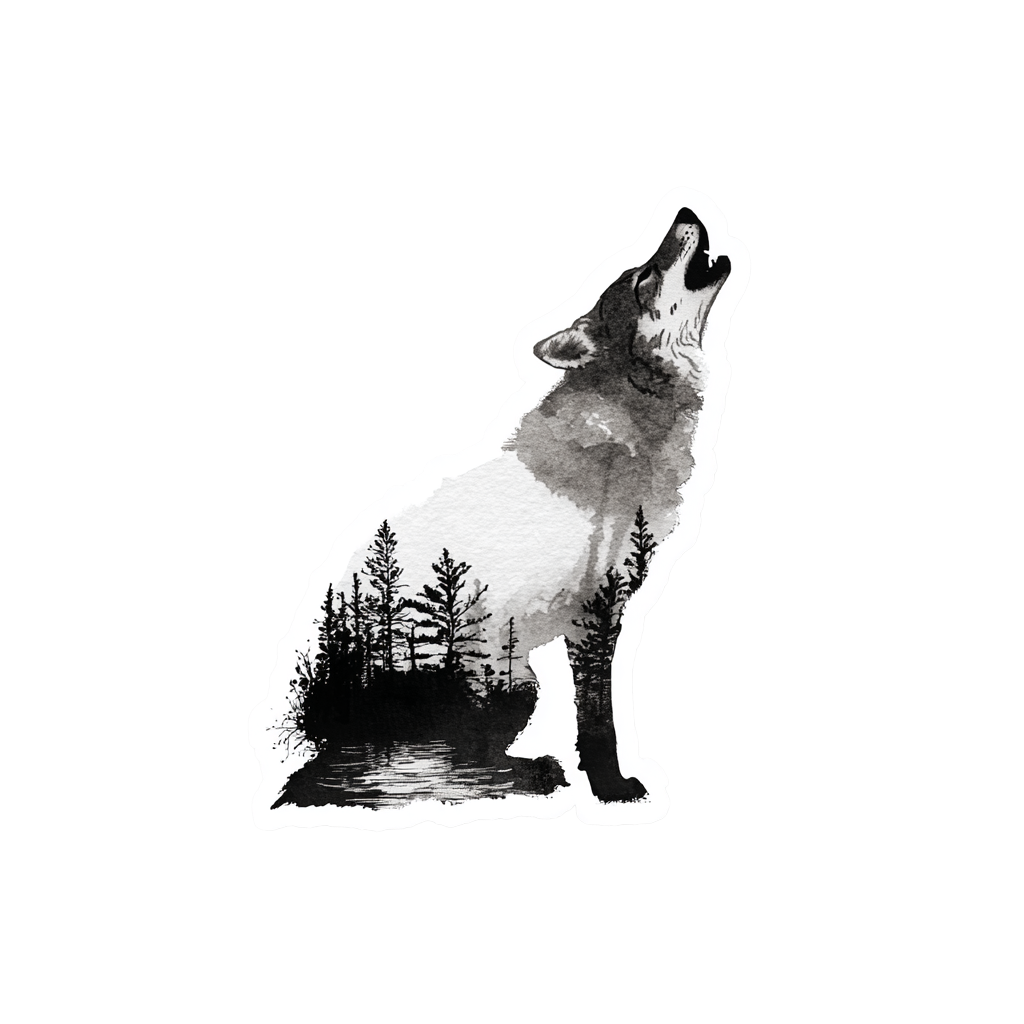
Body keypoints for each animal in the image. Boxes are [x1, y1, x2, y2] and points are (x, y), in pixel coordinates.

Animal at [251, 189, 748, 828]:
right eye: (642, 278)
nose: (685, 208)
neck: (630, 413)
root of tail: (319, 728)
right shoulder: (597, 613)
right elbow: (599, 718)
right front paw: (611, 789)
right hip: (506, 678)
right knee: (449, 765)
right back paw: (534, 776)